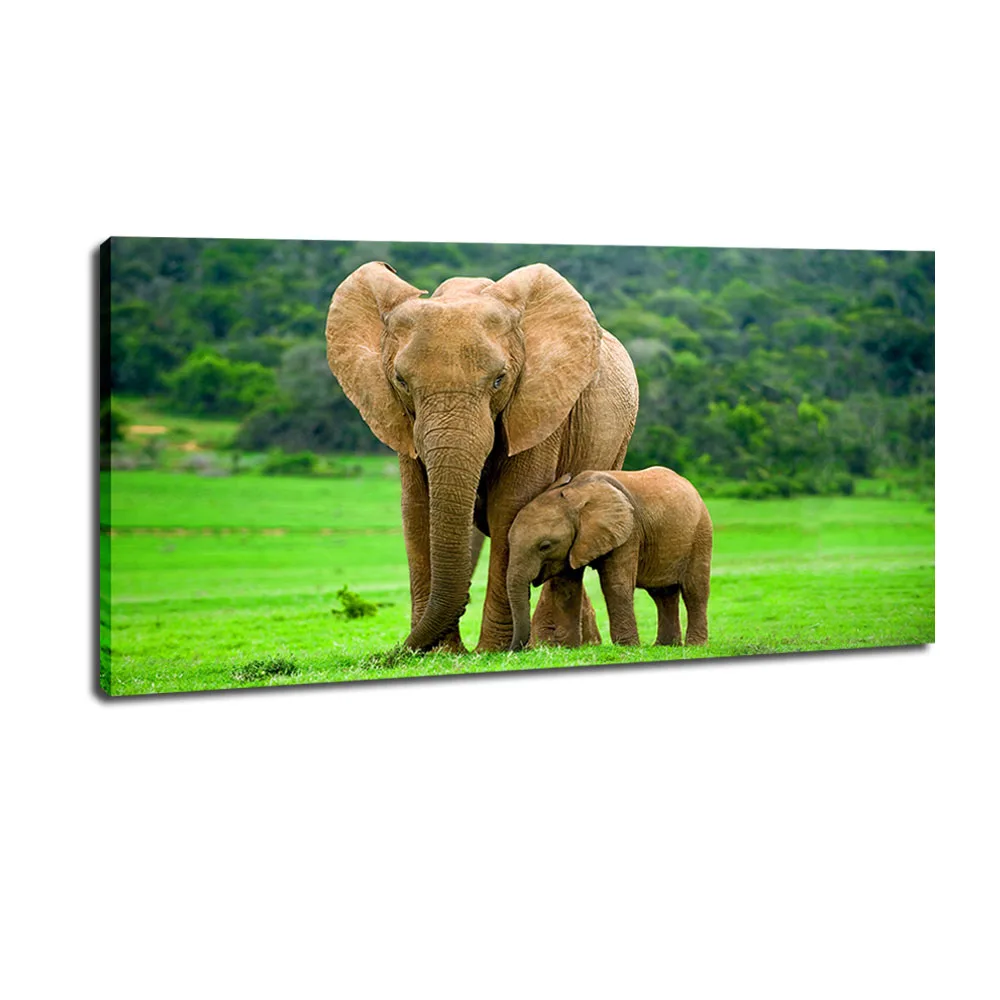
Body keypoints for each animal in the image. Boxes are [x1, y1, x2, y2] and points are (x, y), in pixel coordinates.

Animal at [325, 261, 639, 652]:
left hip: (618, 439)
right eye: (401, 381)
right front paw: (440, 653)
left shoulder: (539, 404)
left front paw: (492, 650)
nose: (396, 653)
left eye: (499, 380)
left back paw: (553, 644)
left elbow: (511, 505)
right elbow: (417, 509)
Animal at [506, 467, 713, 650]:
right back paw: (665, 645)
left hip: (701, 533)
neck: (576, 495)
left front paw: (628, 647)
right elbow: (567, 588)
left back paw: (695, 645)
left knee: (694, 590)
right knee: (662, 594)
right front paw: (567, 648)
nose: (512, 650)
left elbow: (616, 584)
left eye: (545, 546)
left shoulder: (628, 531)